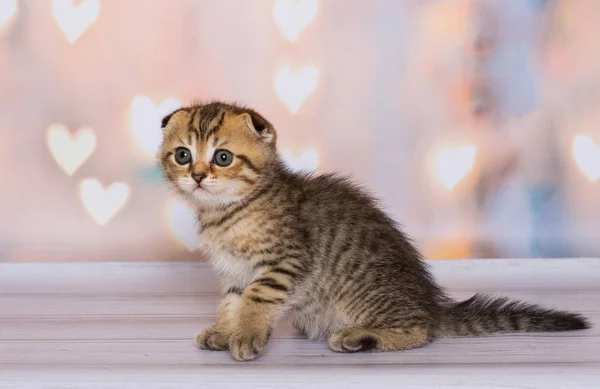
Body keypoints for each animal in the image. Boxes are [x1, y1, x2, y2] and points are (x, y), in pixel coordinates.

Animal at [157, 101, 588, 360]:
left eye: (222, 157)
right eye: (183, 155)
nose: (197, 176)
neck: (228, 211)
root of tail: (431, 304)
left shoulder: (284, 260)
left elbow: (256, 299)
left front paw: (245, 336)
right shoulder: (234, 272)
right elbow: (233, 301)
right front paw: (225, 330)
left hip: (367, 301)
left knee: (420, 330)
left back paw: (361, 337)